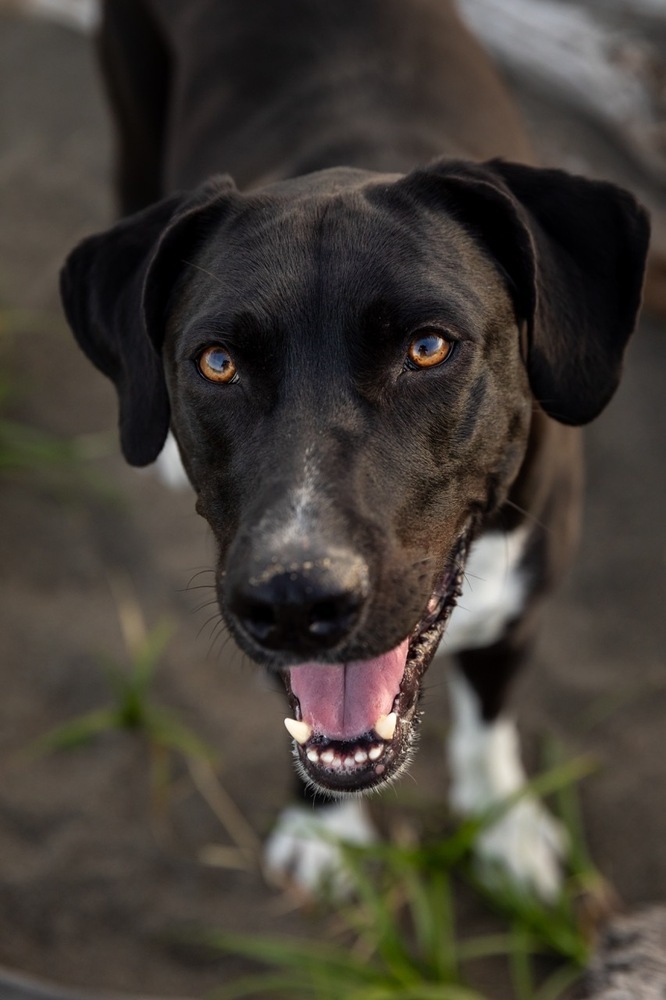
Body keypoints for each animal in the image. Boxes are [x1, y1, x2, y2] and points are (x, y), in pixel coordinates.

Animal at [59, 0, 644, 900]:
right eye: (217, 363)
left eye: (428, 348)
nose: (296, 600)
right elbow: (306, 720)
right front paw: (325, 834)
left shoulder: (523, 599)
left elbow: (490, 718)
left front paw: (504, 828)